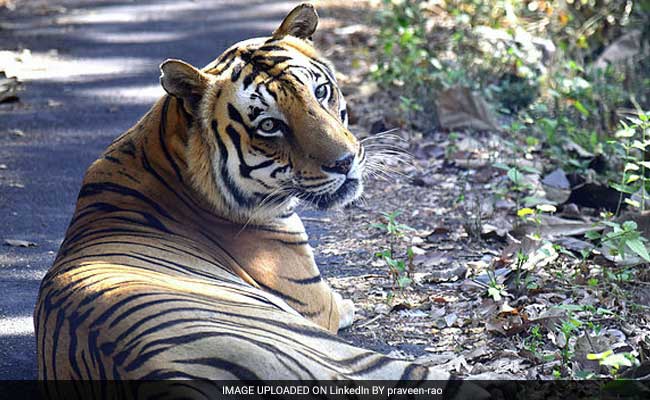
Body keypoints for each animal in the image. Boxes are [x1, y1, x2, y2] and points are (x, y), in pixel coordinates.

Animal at [33, 3, 486, 396]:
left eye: (321, 91)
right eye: (269, 125)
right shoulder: (319, 305)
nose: (344, 162)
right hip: (366, 361)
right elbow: (343, 304)